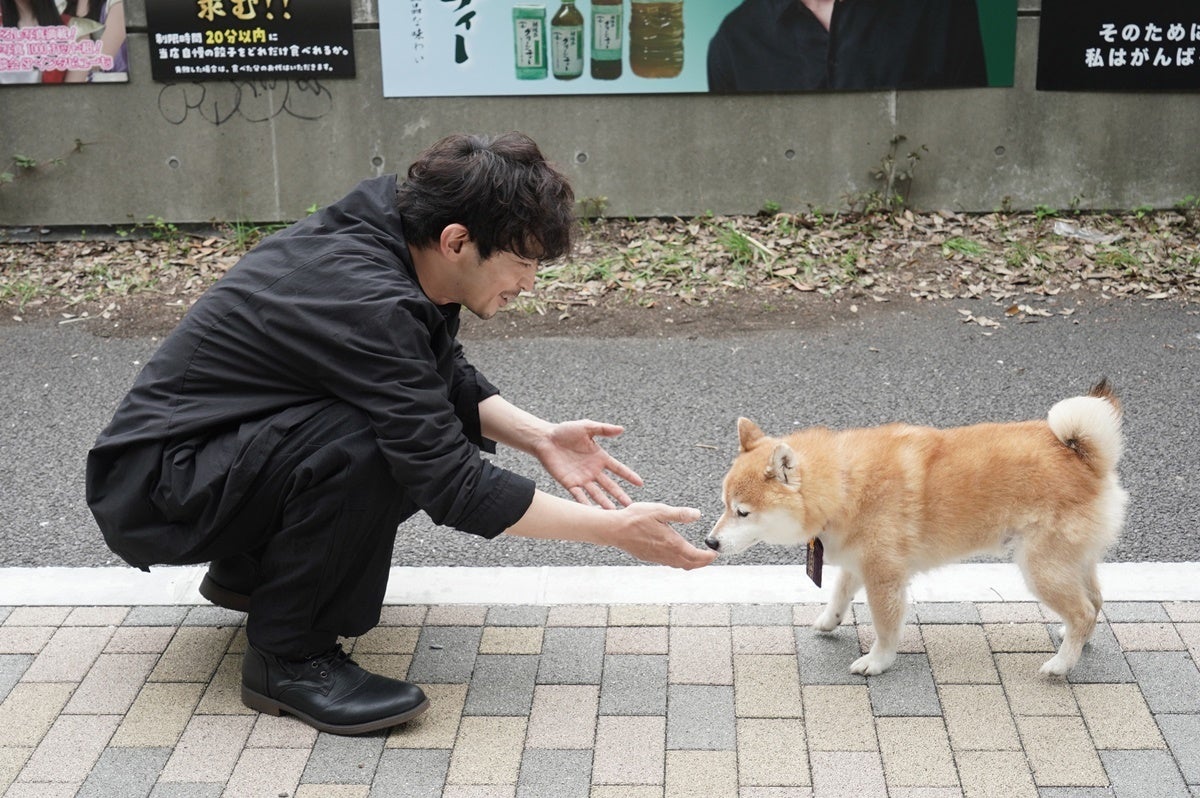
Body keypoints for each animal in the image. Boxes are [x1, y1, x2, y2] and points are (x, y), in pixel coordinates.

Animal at [700, 379, 1123, 672]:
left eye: (742, 512)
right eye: (723, 505)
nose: (710, 542)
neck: (844, 484)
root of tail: (1085, 460)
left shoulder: (884, 576)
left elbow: (886, 626)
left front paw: (877, 661)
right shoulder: (858, 561)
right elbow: (839, 594)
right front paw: (828, 621)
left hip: (1039, 568)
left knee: (1084, 611)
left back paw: (1062, 664)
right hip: (1070, 563)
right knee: (1095, 602)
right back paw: (1074, 642)